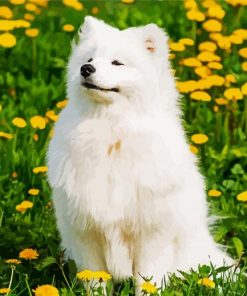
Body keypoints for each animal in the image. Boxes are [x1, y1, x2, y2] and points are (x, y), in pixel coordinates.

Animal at [47, 16, 233, 294]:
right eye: (89, 59)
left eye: (117, 62)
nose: (86, 69)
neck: (111, 132)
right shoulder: (85, 232)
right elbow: (95, 279)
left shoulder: (152, 234)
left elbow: (148, 279)